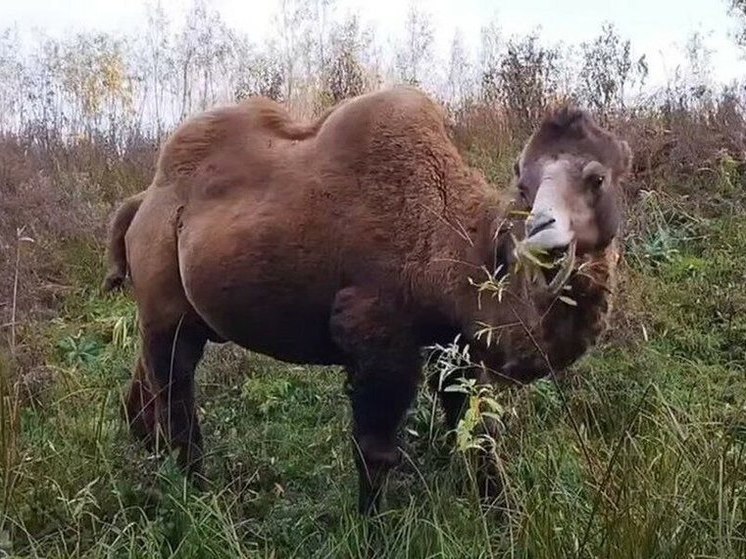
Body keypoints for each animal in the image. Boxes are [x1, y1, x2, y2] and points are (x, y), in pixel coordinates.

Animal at [103, 87, 628, 516]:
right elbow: (376, 452)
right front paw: (373, 530)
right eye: (524, 184)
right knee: (176, 395)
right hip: (165, 306)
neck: (455, 239)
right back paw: (195, 492)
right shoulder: (375, 333)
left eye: (597, 178)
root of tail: (141, 203)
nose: (542, 233)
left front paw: (503, 517)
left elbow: (478, 435)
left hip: (174, 313)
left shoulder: (450, 344)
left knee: (148, 385)